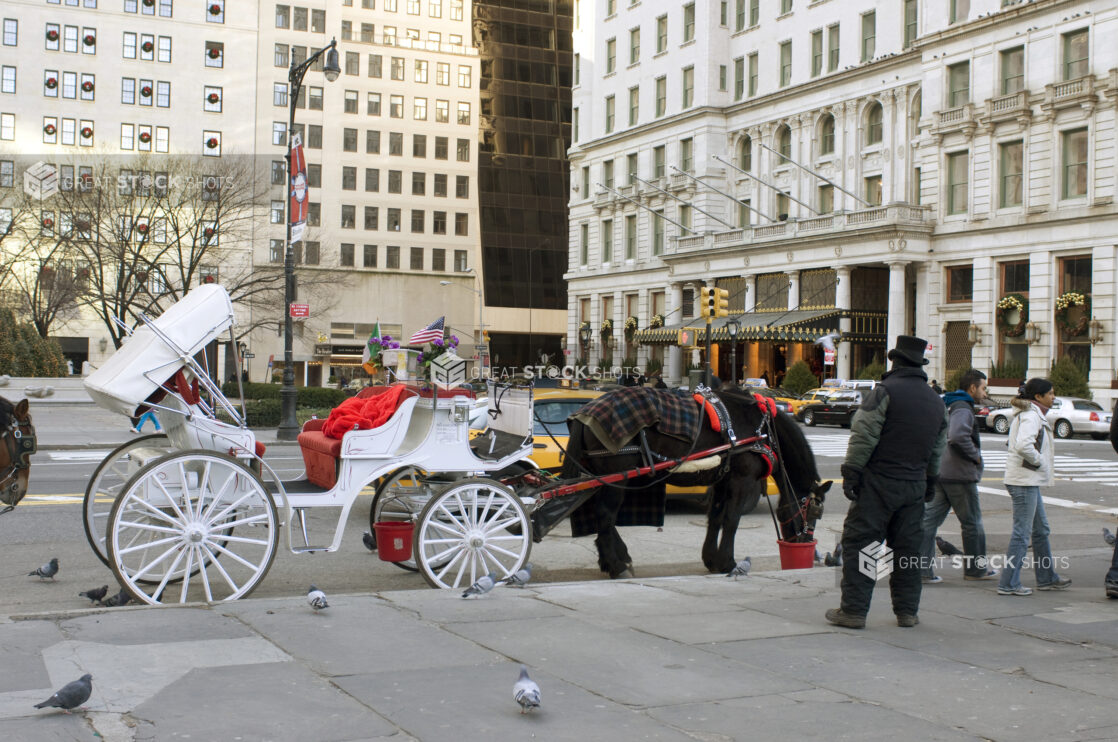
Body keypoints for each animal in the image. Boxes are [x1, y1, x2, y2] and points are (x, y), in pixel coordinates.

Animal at [559, 388, 831, 581]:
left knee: (602, 516)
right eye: (815, 512)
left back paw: (619, 558)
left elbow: (716, 518)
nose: (805, 543)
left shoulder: (722, 480)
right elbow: (732, 520)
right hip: (618, 476)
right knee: (605, 515)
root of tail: (585, 413)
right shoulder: (742, 480)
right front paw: (728, 562)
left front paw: (711, 559)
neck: (762, 427)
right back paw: (616, 565)